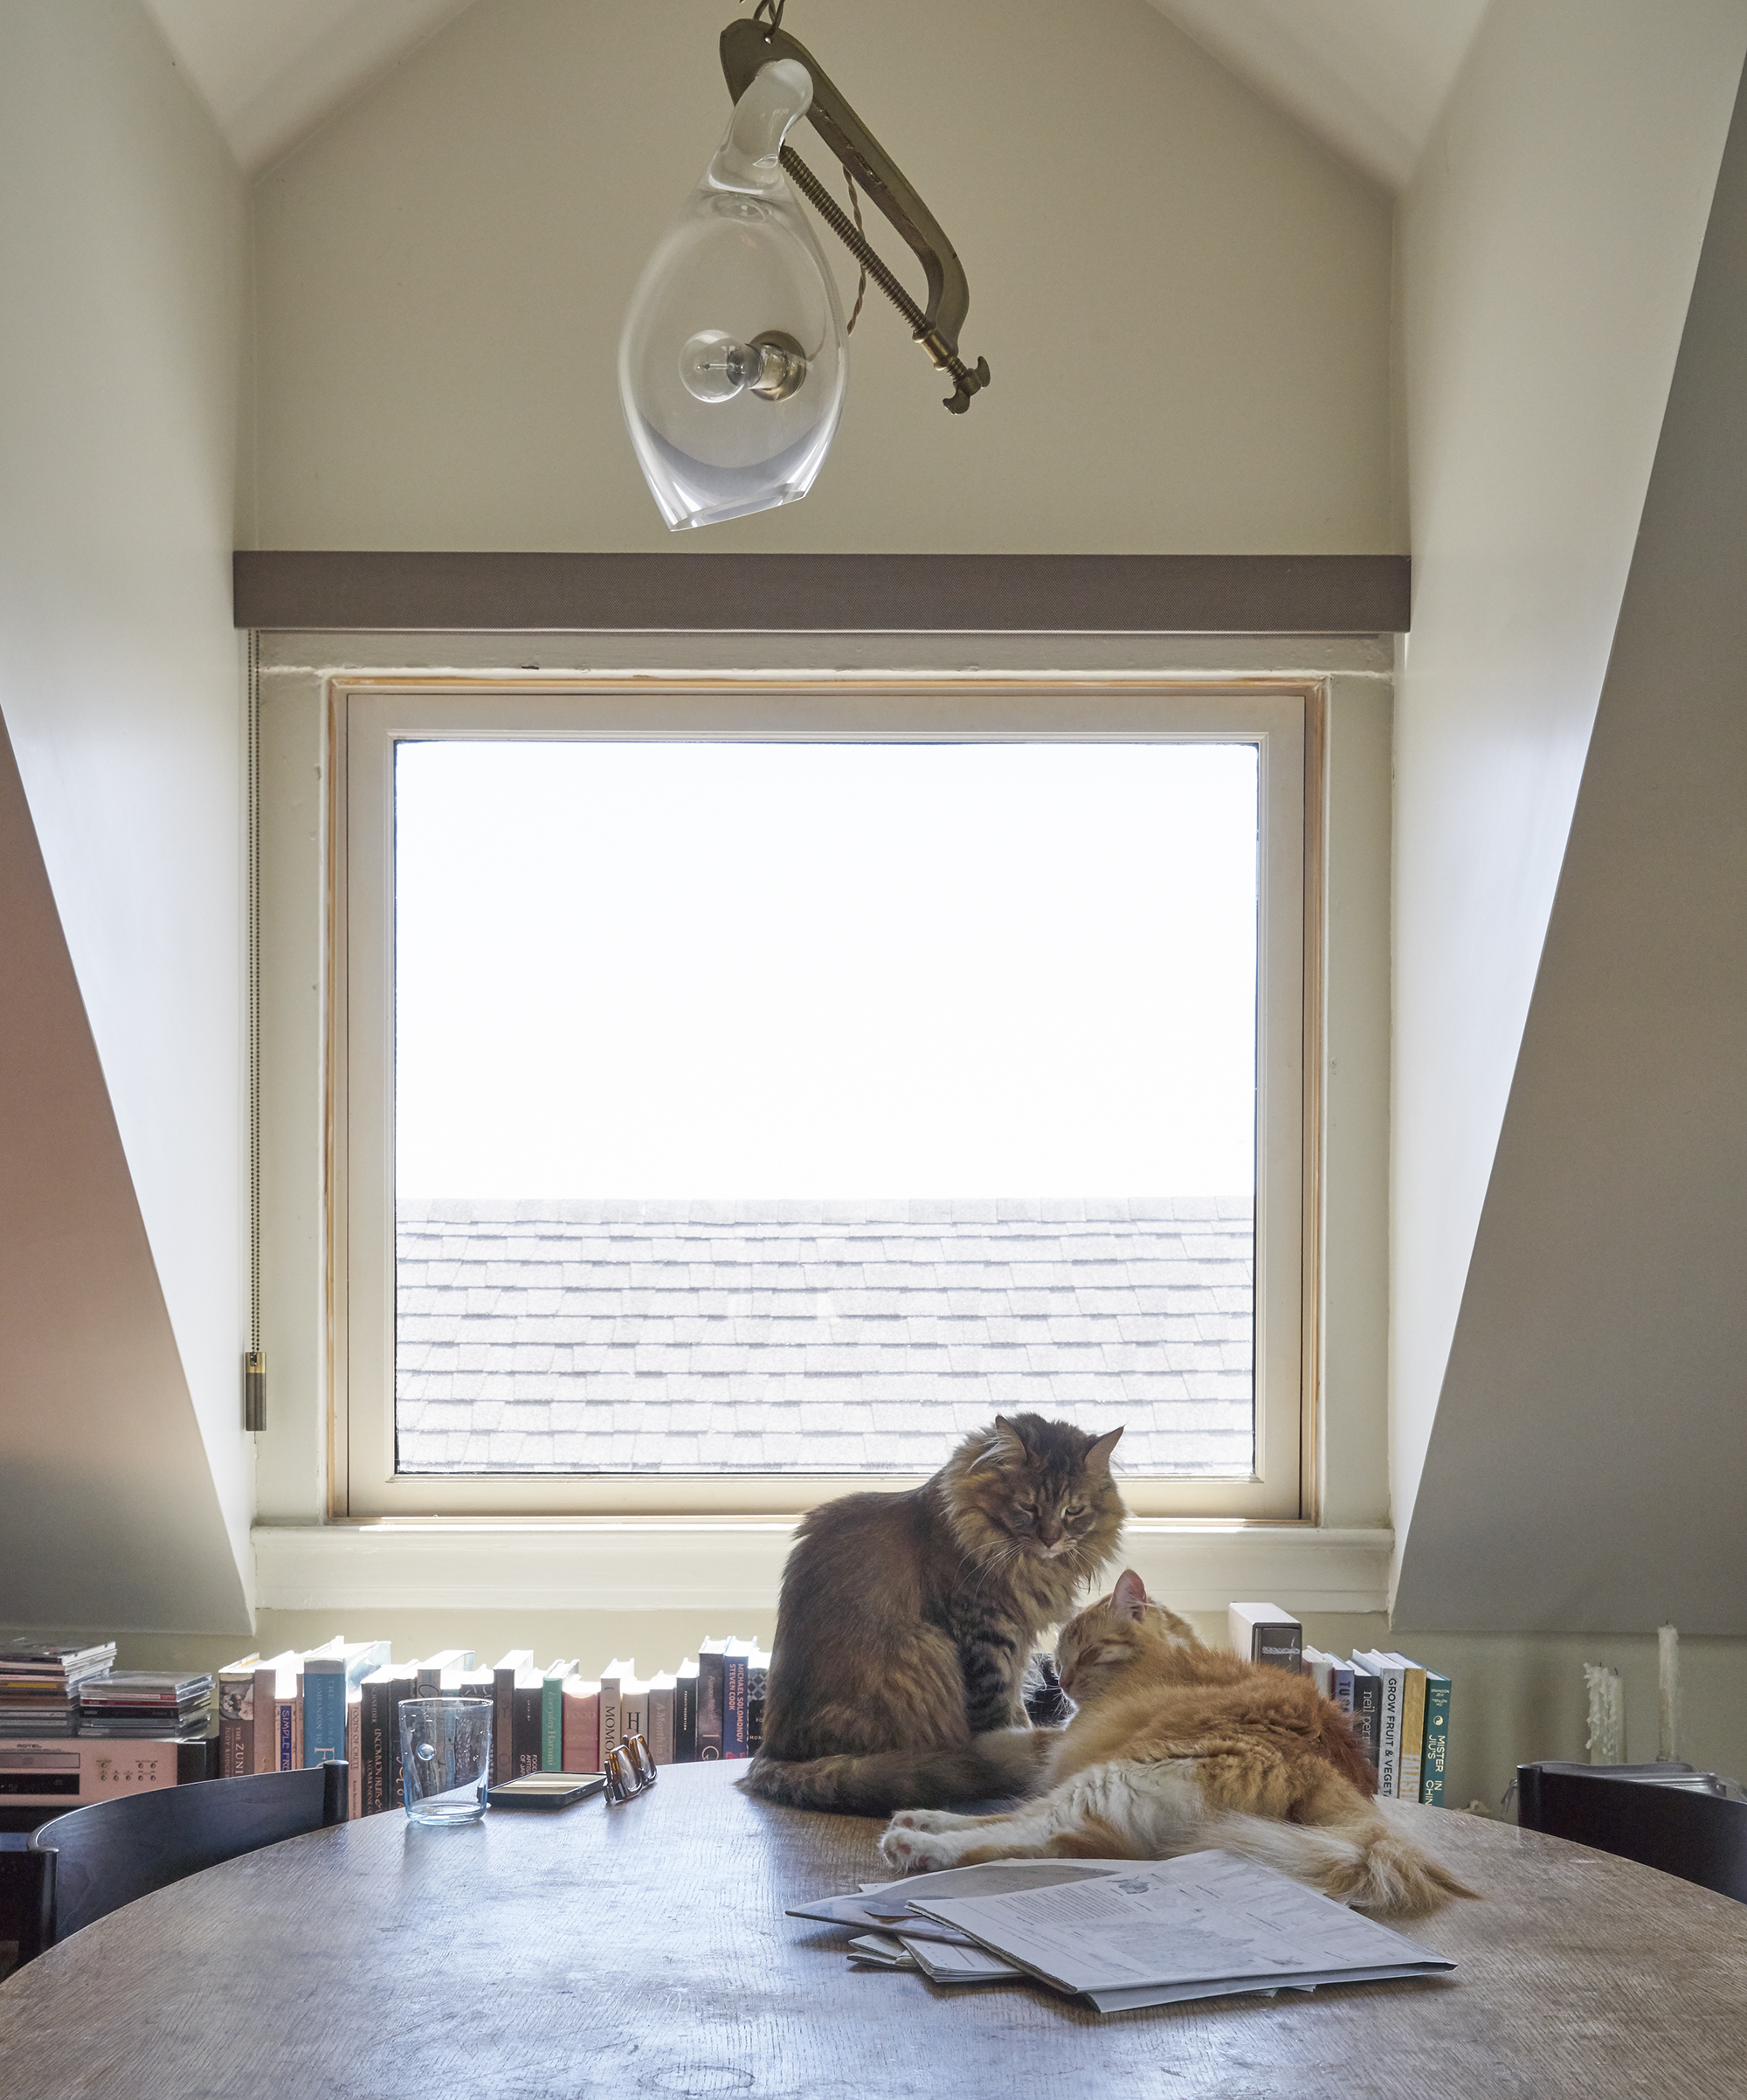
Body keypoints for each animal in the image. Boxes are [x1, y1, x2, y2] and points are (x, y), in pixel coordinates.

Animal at [742, 1420, 1125, 1814]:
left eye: (1073, 1510)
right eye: (1028, 1506)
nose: (1051, 1539)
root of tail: (771, 1750)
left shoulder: (1017, 1643)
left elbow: (1017, 1702)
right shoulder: (985, 1633)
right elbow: (998, 1711)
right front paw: (1015, 1747)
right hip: (924, 1652)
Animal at [881, 1571, 1469, 1915]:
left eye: (1086, 1653)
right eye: (1062, 1658)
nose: (1061, 1681)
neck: (1172, 1657)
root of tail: (1325, 1774)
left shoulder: (1068, 1742)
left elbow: (1011, 1742)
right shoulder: (1064, 1743)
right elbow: (1015, 1746)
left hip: (1114, 1776)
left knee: (1022, 1832)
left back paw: (917, 1843)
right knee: (1029, 1831)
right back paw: (920, 1820)